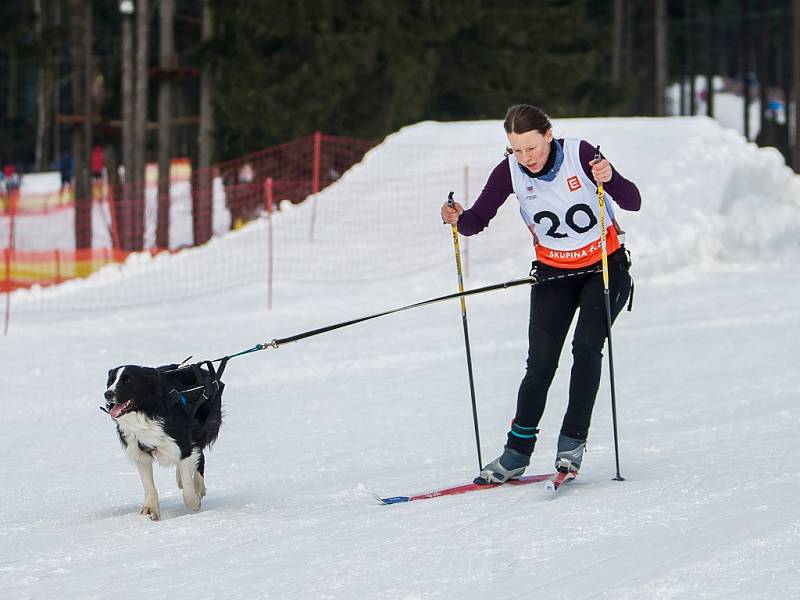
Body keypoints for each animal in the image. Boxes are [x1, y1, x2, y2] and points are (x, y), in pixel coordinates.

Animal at [103, 360, 223, 520]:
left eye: (127, 380)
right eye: (110, 381)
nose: (107, 393)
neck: (147, 411)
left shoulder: (182, 441)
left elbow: (187, 486)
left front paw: (194, 503)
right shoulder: (139, 451)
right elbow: (149, 485)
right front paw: (150, 509)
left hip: (204, 424)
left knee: (198, 455)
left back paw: (198, 486)